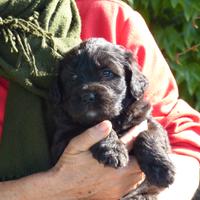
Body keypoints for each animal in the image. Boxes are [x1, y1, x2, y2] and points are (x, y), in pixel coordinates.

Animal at [49, 38, 175, 199]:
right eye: (72, 77)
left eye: (107, 73)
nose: (87, 97)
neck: (115, 118)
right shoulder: (62, 139)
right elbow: (91, 125)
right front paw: (113, 150)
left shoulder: (147, 120)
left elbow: (148, 135)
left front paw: (161, 169)